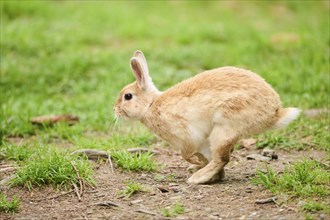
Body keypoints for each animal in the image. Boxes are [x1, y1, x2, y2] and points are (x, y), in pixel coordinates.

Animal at [114, 50, 302, 184]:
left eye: (127, 96)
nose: (115, 110)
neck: (151, 105)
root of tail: (274, 112)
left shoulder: (187, 136)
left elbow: (186, 154)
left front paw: (196, 163)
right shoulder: (201, 141)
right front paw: (201, 165)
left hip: (225, 125)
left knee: (222, 158)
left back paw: (197, 178)